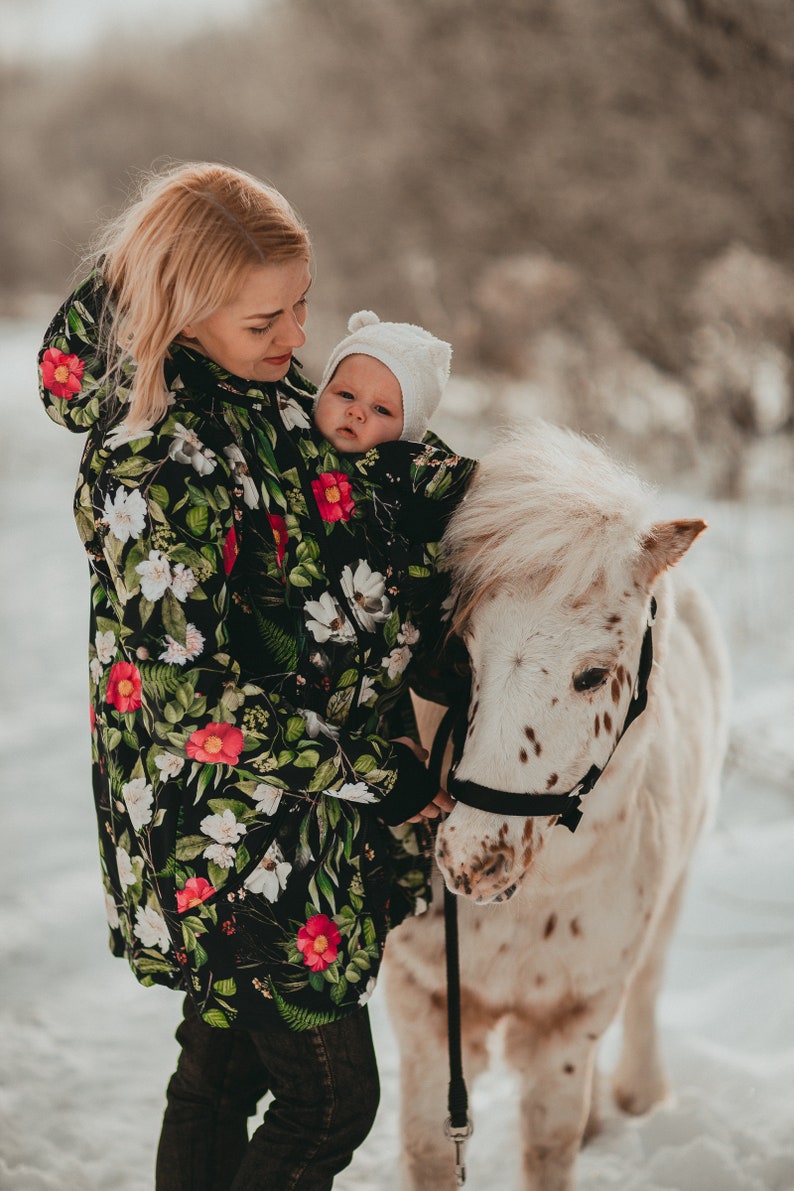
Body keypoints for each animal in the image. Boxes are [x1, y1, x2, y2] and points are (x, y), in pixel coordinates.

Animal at [385, 421, 733, 1191]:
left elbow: (550, 1148)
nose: (470, 858)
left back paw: (638, 1096)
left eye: (593, 675)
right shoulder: (428, 1012)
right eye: (463, 654)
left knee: (647, 990)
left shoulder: (572, 1018)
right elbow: (429, 1150)